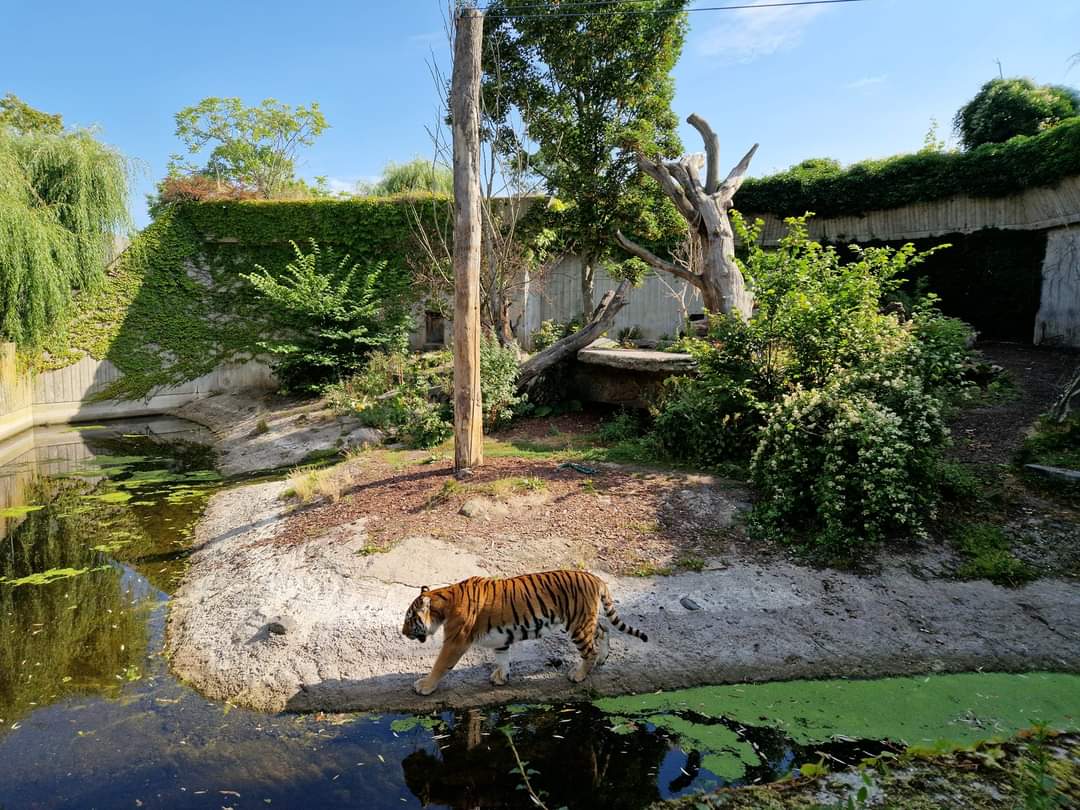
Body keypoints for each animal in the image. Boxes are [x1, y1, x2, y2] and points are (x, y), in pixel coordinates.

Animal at [401, 570, 648, 696]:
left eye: (409, 619)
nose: (402, 633)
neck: (444, 601)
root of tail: (595, 577)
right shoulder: (500, 639)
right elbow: (502, 658)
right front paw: (501, 678)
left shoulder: (455, 641)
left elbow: (440, 664)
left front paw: (424, 686)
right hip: (585, 619)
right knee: (604, 630)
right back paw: (603, 660)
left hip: (577, 624)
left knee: (590, 650)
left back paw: (578, 675)